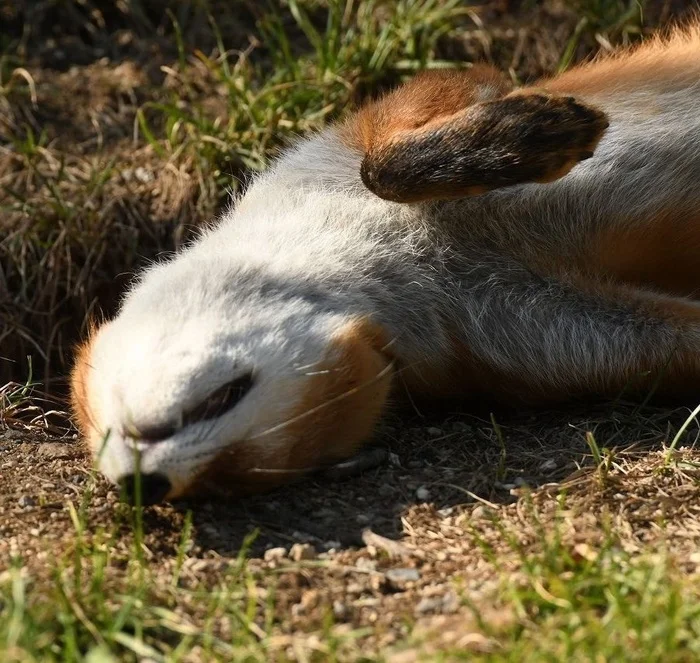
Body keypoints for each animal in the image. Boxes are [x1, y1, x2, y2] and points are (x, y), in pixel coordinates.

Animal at [69, 23, 700, 506]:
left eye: (99, 422)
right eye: (231, 474)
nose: (142, 488)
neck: (425, 259)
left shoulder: (423, 101)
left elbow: (384, 166)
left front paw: (525, 137)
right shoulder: (548, 341)